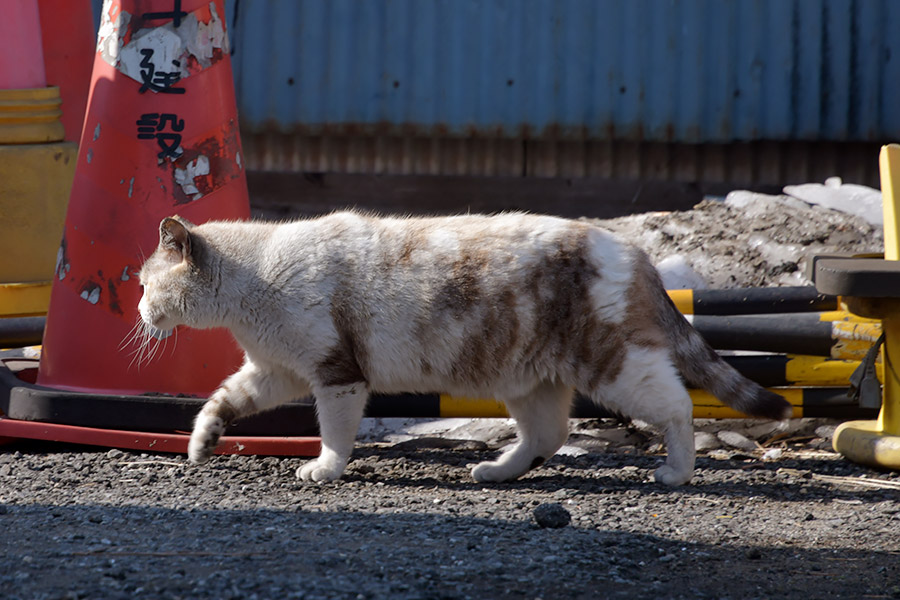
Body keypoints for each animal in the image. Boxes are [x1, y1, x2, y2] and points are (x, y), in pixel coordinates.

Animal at [137, 211, 792, 488]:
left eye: (145, 283)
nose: (138, 309)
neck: (257, 280)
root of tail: (635, 250)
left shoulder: (336, 375)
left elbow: (336, 434)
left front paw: (324, 469)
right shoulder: (278, 373)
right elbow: (220, 402)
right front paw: (200, 446)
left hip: (614, 369)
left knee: (678, 406)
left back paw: (676, 473)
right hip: (528, 379)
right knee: (548, 435)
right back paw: (497, 472)